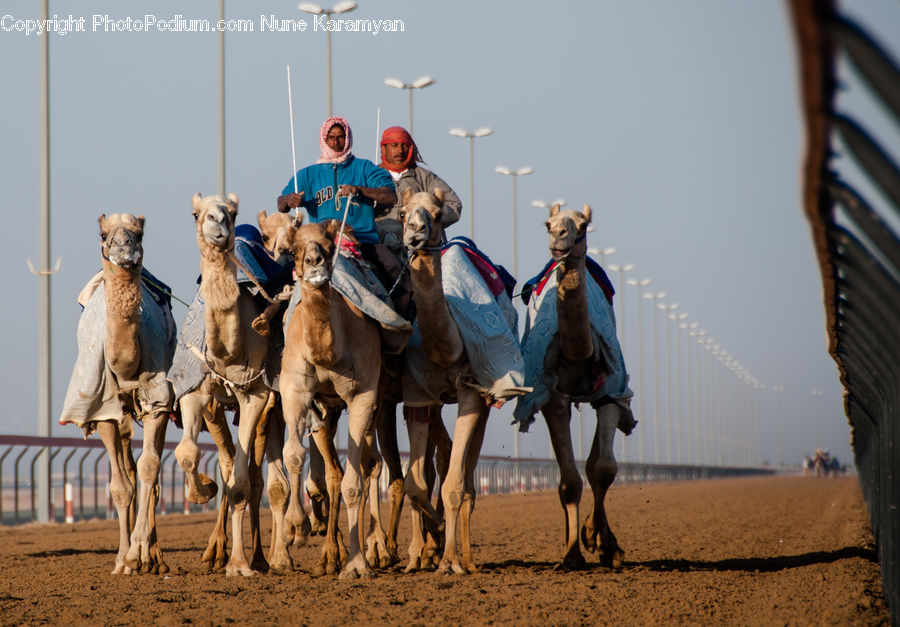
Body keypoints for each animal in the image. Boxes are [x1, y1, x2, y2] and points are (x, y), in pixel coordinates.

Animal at [60, 213, 175, 575]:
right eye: (103, 233)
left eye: (139, 231)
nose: (123, 248)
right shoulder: (100, 410)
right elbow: (120, 486)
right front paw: (124, 560)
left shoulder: (157, 400)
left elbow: (150, 468)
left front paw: (140, 556)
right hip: (119, 413)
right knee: (127, 469)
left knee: (149, 472)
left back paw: (155, 557)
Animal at [173, 193, 275, 577]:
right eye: (195, 213)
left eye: (232, 211)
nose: (218, 224)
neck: (229, 352)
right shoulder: (196, 392)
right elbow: (188, 454)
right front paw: (202, 490)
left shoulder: (255, 395)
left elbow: (242, 486)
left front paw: (240, 565)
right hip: (217, 409)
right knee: (230, 462)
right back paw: (215, 550)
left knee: (256, 477)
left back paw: (261, 557)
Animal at [279, 219, 385, 579]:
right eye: (292, 249)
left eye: (328, 243)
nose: (315, 263)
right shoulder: (295, 390)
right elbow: (294, 454)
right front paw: (295, 527)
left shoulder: (364, 394)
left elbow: (355, 482)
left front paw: (356, 565)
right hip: (326, 412)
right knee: (336, 471)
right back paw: (328, 555)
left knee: (370, 465)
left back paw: (378, 550)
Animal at [522, 203, 635, 570]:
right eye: (548, 223)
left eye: (583, 226)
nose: (559, 239)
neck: (580, 353)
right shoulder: (552, 397)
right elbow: (569, 480)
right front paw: (571, 554)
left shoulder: (611, 393)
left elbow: (604, 468)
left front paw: (605, 545)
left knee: (595, 463)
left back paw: (598, 537)